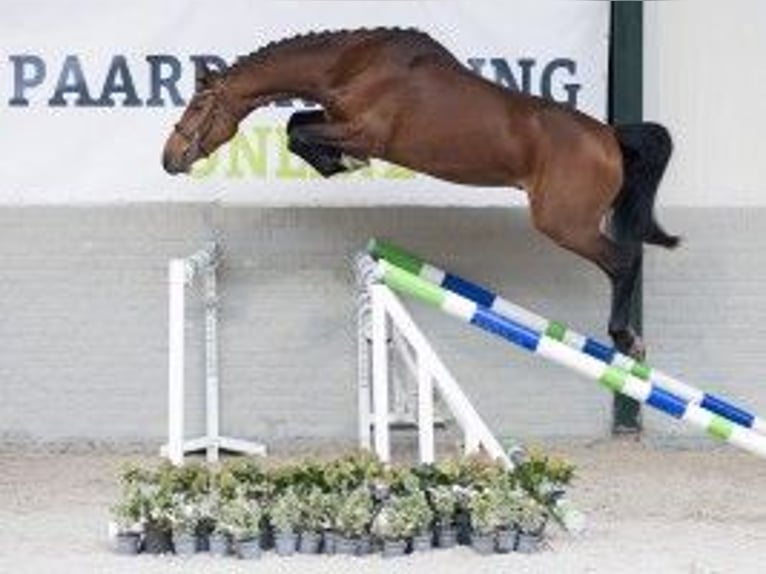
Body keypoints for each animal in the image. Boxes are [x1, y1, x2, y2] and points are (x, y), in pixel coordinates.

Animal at [162, 29, 680, 360]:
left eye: (200, 104)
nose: (170, 158)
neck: (354, 65)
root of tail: (610, 136)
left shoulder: (364, 132)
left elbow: (301, 132)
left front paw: (343, 163)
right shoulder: (336, 119)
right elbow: (297, 124)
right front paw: (337, 163)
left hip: (563, 223)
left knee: (623, 261)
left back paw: (626, 340)